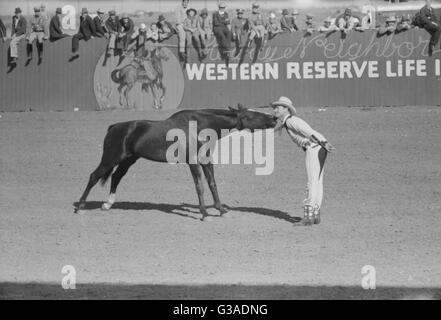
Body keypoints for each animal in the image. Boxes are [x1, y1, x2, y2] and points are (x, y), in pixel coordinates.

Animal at [75, 105, 276, 220]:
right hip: (111, 158)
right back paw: (80, 207)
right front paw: (204, 213)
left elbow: (212, 184)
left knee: (116, 177)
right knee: (94, 176)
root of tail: (114, 127)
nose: (274, 118)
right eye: (251, 115)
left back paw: (107, 204)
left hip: (128, 159)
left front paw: (220, 209)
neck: (199, 126)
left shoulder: (206, 160)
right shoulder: (193, 162)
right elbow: (200, 186)